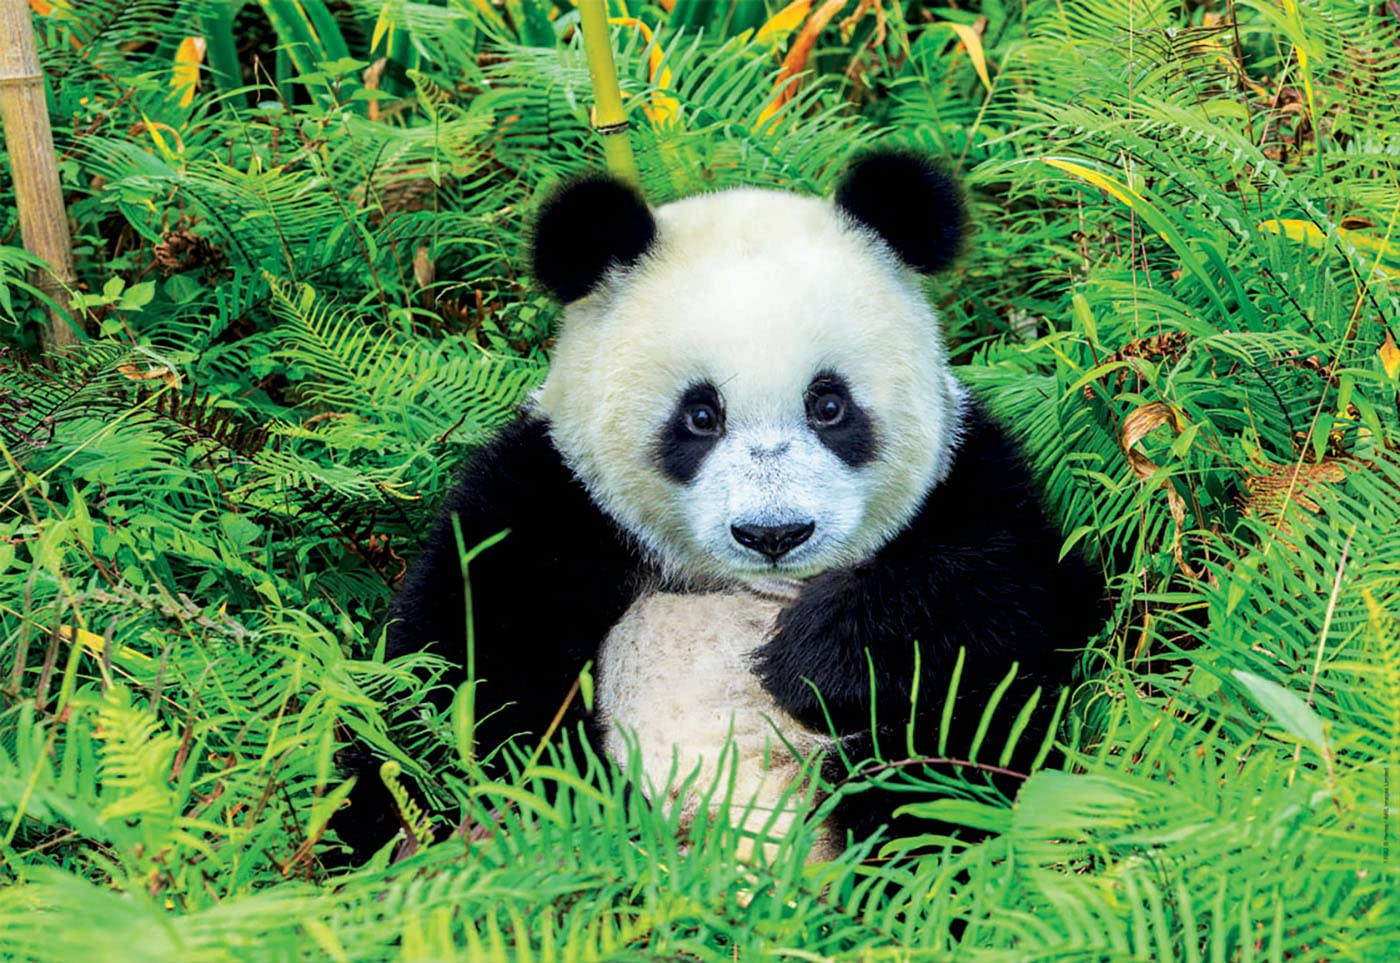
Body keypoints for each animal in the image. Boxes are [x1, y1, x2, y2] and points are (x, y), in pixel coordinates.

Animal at [335, 150, 1104, 863]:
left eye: (829, 405)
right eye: (700, 415)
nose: (774, 533)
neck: (741, 583)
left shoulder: (968, 476)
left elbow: (1020, 598)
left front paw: (810, 655)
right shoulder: (552, 498)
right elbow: (449, 669)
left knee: (949, 763)